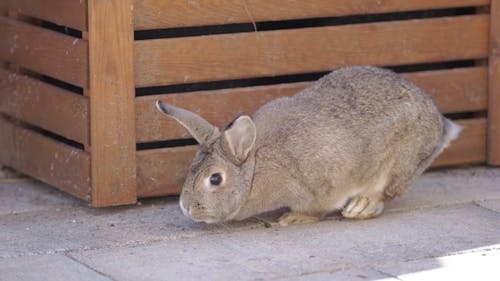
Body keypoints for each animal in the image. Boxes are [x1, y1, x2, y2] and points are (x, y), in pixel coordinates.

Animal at [155, 65, 460, 225]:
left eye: (215, 179)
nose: (185, 207)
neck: (254, 169)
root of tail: (440, 124)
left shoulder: (319, 186)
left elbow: (315, 208)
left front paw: (292, 219)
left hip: (400, 163)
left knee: (383, 194)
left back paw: (359, 207)